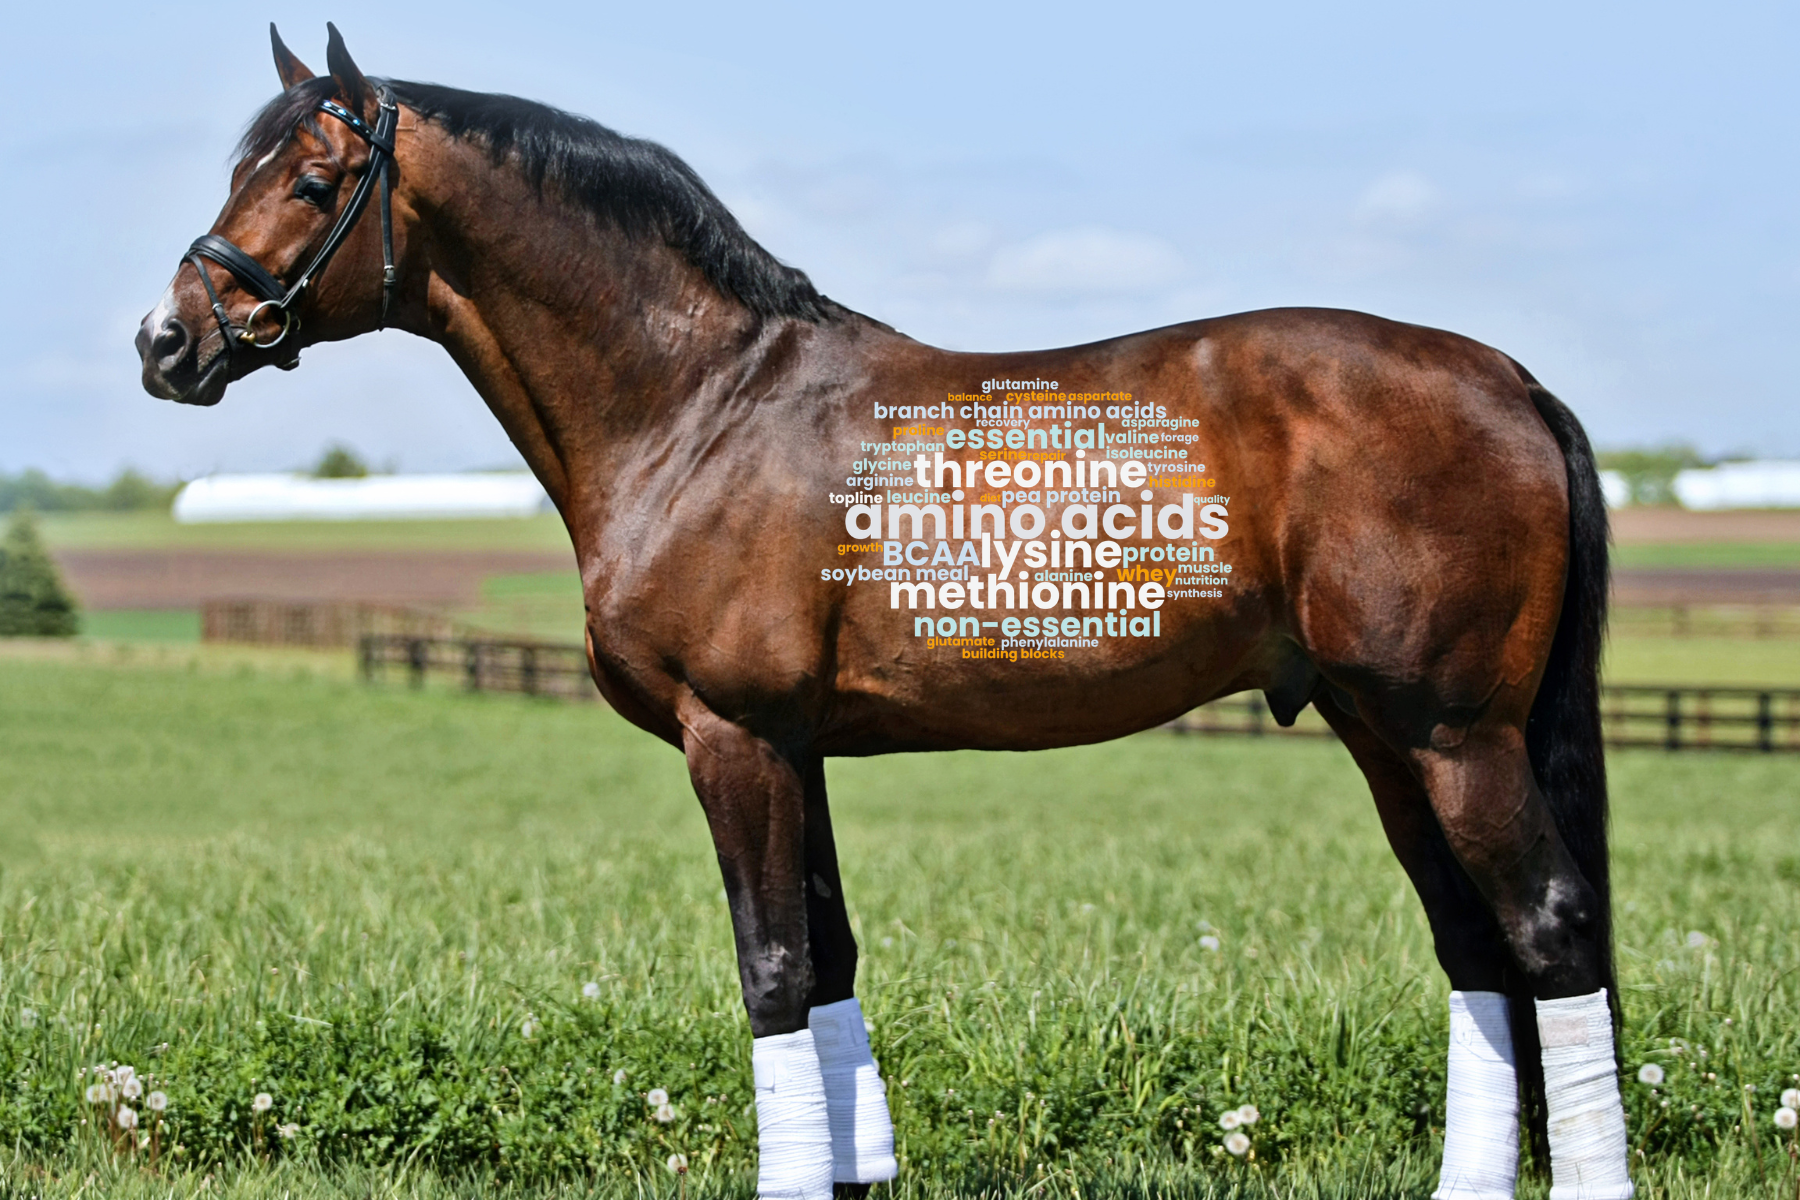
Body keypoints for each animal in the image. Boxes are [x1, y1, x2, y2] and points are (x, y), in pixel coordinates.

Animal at [137, 25, 1634, 1200]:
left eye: (313, 180)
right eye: (239, 173)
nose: (168, 342)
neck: (701, 408)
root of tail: (1508, 379)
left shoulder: (734, 738)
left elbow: (773, 972)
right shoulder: (795, 748)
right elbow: (832, 964)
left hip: (1456, 735)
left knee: (1552, 929)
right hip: (1383, 733)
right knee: (1475, 944)